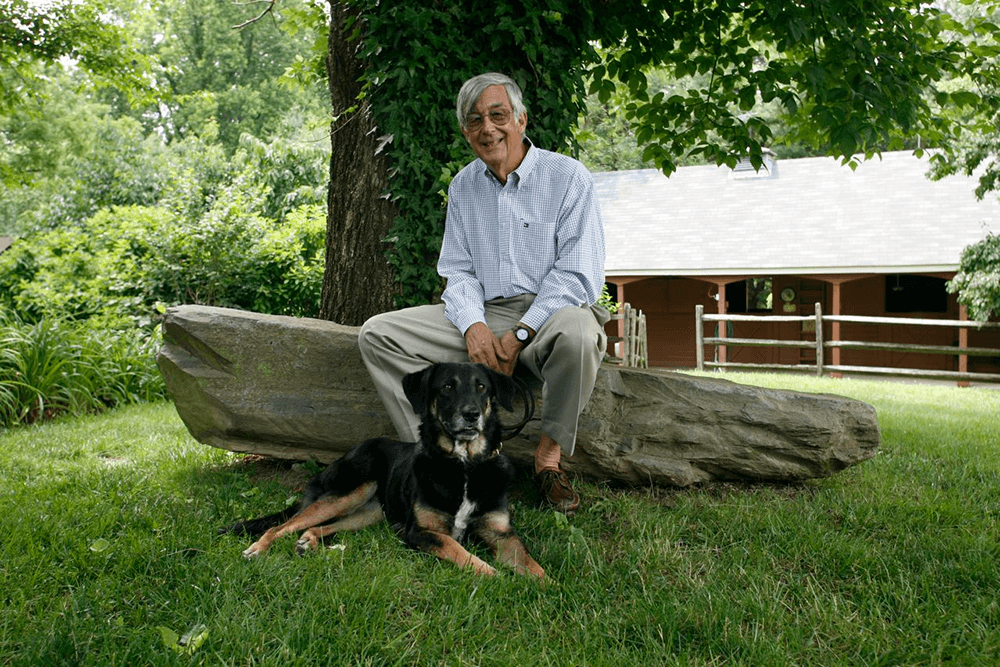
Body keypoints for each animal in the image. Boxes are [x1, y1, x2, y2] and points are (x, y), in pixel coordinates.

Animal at [221, 362, 548, 576]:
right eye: (447, 387)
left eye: (482, 387)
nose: (471, 414)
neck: (464, 465)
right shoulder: (420, 532)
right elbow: (462, 553)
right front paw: (497, 578)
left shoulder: (502, 534)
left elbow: (533, 566)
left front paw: (548, 591)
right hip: (349, 490)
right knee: (282, 526)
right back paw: (258, 548)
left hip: (368, 512)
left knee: (316, 527)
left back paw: (307, 542)